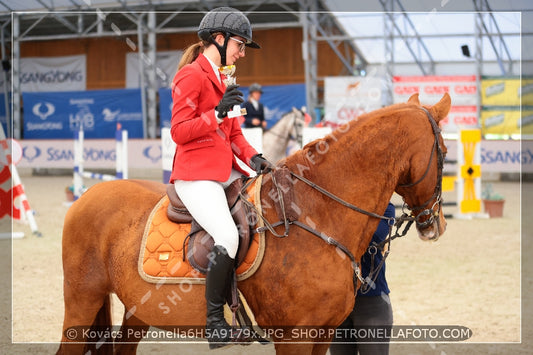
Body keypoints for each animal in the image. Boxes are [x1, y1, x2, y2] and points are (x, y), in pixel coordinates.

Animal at [57, 93, 448, 354]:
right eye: (444, 152)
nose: (437, 225)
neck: (314, 213)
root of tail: (88, 195)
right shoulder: (294, 337)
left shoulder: (323, 334)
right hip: (81, 299)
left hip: (137, 309)